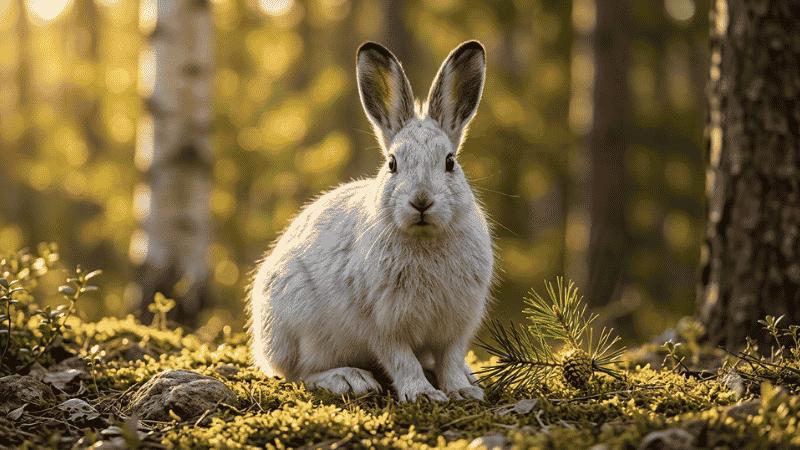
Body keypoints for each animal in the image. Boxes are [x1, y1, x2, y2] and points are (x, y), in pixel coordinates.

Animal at [249, 40, 493, 402]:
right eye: (392, 164)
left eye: (450, 162)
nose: (421, 200)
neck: (423, 239)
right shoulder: (383, 324)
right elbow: (401, 359)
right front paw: (423, 394)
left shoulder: (455, 325)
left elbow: (449, 358)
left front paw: (462, 392)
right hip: (297, 328)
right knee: (298, 372)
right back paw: (348, 379)